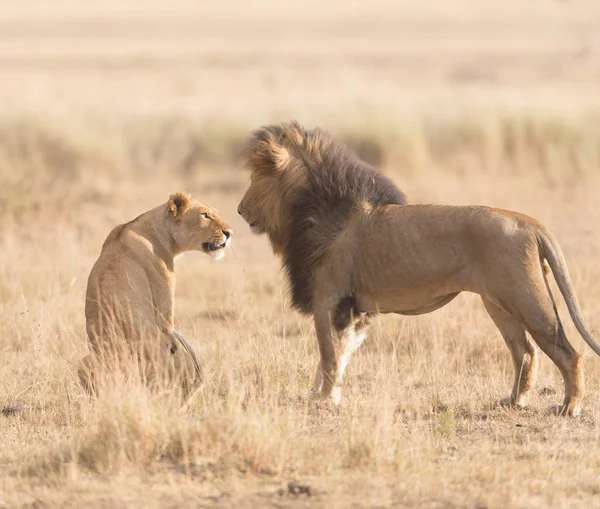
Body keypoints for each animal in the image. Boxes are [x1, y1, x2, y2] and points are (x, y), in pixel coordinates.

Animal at [239, 121, 600, 414]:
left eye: (255, 179)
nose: (240, 210)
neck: (314, 211)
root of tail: (528, 222)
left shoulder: (328, 298)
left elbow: (328, 354)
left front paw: (325, 400)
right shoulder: (352, 308)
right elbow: (338, 354)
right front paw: (322, 395)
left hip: (526, 298)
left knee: (567, 352)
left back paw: (568, 407)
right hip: (498, 304)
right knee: (524, 351)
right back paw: (513, 401)